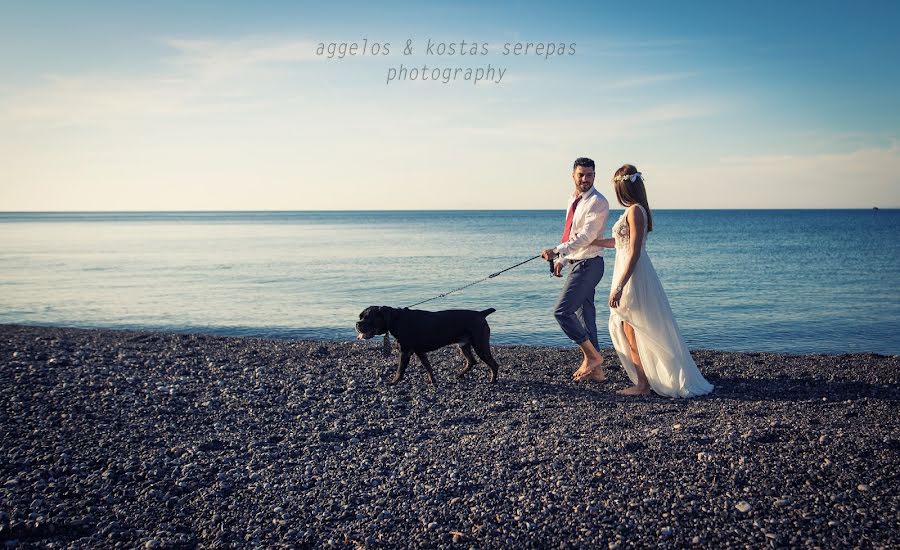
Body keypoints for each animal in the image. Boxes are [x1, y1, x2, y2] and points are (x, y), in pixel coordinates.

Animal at [356, 306, 500, 388]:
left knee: (494, 364)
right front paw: (433, 381)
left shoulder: (405, 352)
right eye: (360, 317)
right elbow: (428, 367)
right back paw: (460, 374)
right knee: (472, 361)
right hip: (463, 345)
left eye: (367, 318)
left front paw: (394, 382)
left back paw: (492, 381)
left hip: (480, 346)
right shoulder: (419, 351)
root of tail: (481, 314)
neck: (396, 319)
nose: (357, 323)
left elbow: (400, 370)